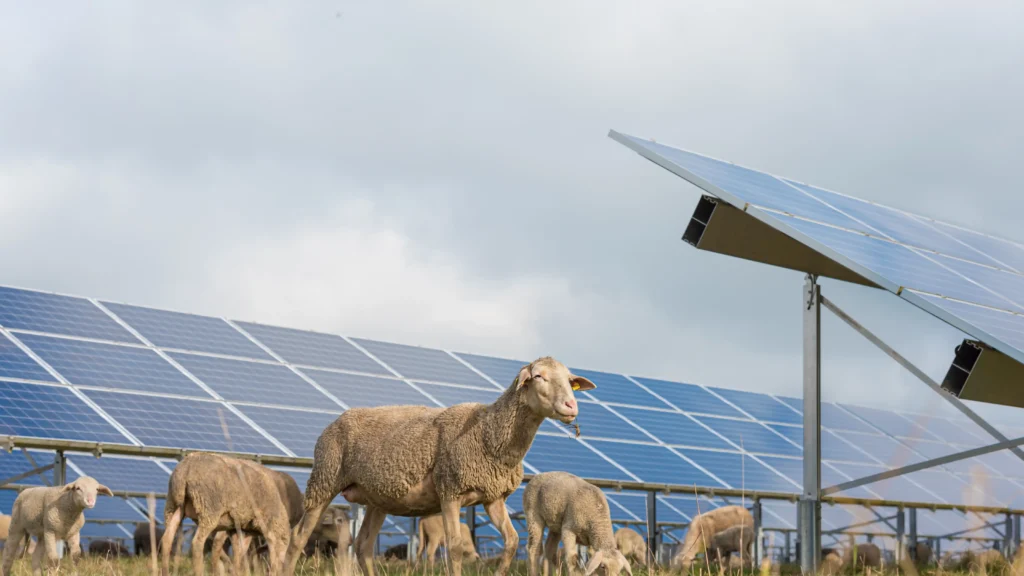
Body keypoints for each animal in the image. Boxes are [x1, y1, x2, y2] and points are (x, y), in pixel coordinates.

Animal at [157, 448, 292, 573]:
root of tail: (186, 468)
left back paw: (165, 571)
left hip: (173, 506)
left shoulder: (239, 529)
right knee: (197, 543)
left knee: (167, 539)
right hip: (208, 509)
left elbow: (239, 555)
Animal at [284, 354, 598, 573]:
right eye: (539, 376)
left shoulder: (492, 497)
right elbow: (455, 547)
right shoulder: (450, 491)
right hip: (324, 480)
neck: (489, 432)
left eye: (570, 380)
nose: (571, 406)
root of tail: (335, 421)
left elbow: (511, 541)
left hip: (377, 498)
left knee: (363, 546)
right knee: (298, 537)